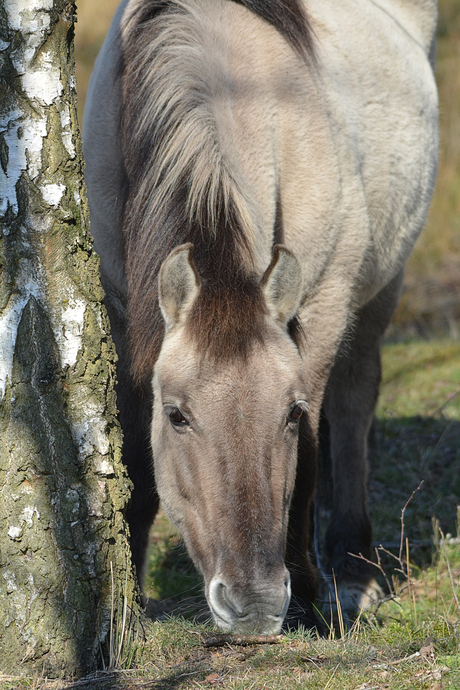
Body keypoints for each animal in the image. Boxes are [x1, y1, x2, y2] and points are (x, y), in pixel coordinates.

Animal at [82, 0, 438, 636]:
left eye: (290, 415)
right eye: (176, 416)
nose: (253, 604)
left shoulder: (322, 304)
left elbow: (308, 459)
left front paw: (310, 597)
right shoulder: (123, 312)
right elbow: (139, 466)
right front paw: (135, 601)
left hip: (382, 286)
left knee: (353, 407)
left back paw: (352, 568)